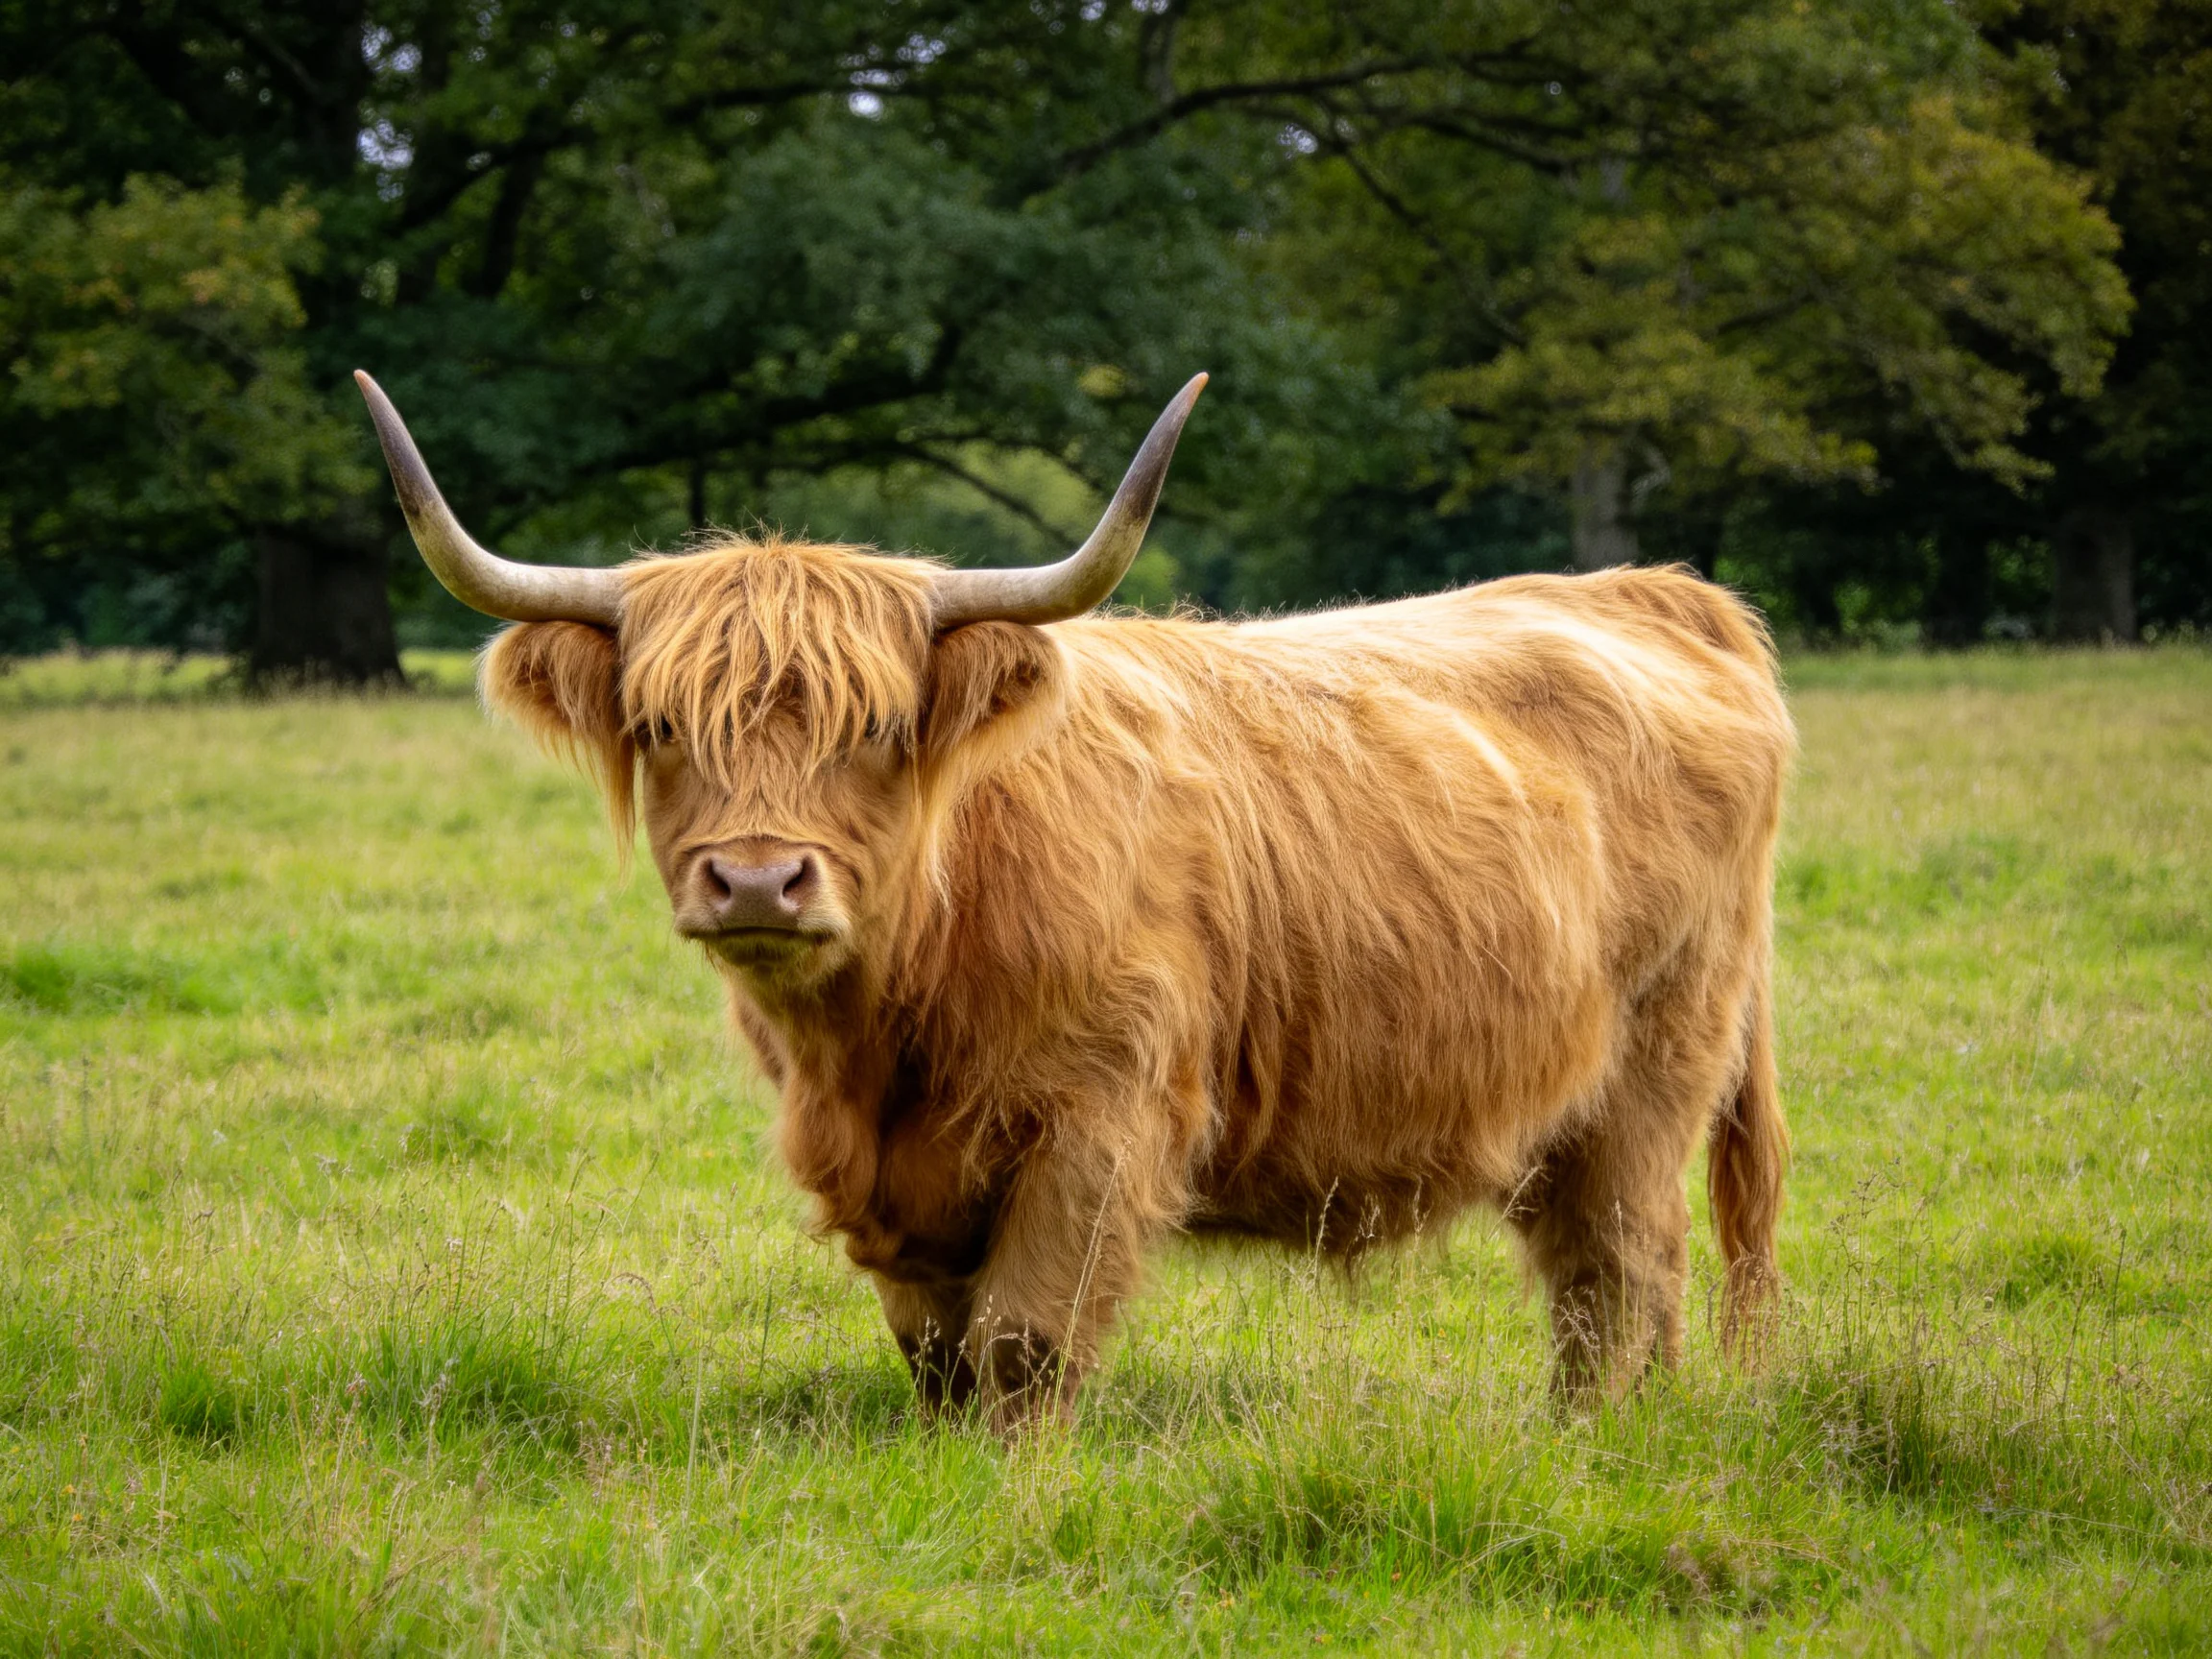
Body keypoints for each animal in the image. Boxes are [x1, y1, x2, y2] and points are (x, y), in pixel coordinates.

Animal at [354, 369, 1792, 1429]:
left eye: (878, 725)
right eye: (660, 725)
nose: (757, 877)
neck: (890, 1026)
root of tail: (1656, 594)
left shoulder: (1105, 1116)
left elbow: (1025, 1341)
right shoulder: (895, 1181)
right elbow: (935, 1353)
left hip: (1653, 1066)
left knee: (1621, 1268)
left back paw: (1594, 1437)